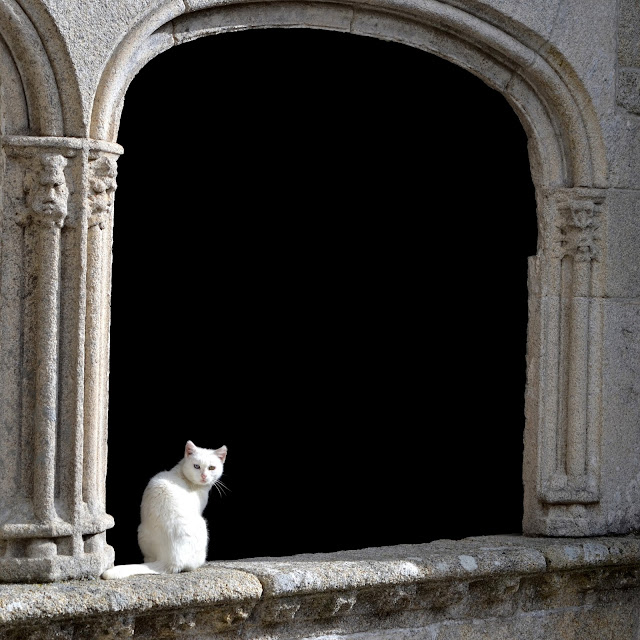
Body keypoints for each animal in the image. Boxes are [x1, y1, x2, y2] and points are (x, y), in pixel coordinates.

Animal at [101, 442, 229, 576]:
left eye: (211, 468)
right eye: (196, 466)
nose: (204, 476)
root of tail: (170, 559)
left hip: (141, 533)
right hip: (202, 524)